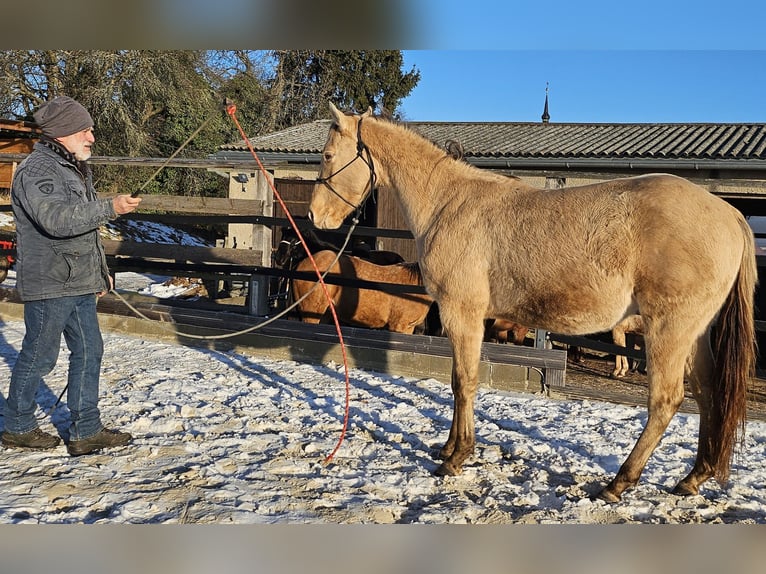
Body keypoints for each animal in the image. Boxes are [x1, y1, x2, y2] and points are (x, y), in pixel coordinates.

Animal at [307, 103, 757, 502]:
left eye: (327, 155)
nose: (314, 217)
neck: (448, 203)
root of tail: (730, 215)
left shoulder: (462, 313)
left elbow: (463, 381)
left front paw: (456, 457)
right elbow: (459, 380)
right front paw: (449, 448)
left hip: (668, 330)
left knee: (666, 401)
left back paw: (618, 484)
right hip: (693, 335)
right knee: (708, 394)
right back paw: (692, 478)